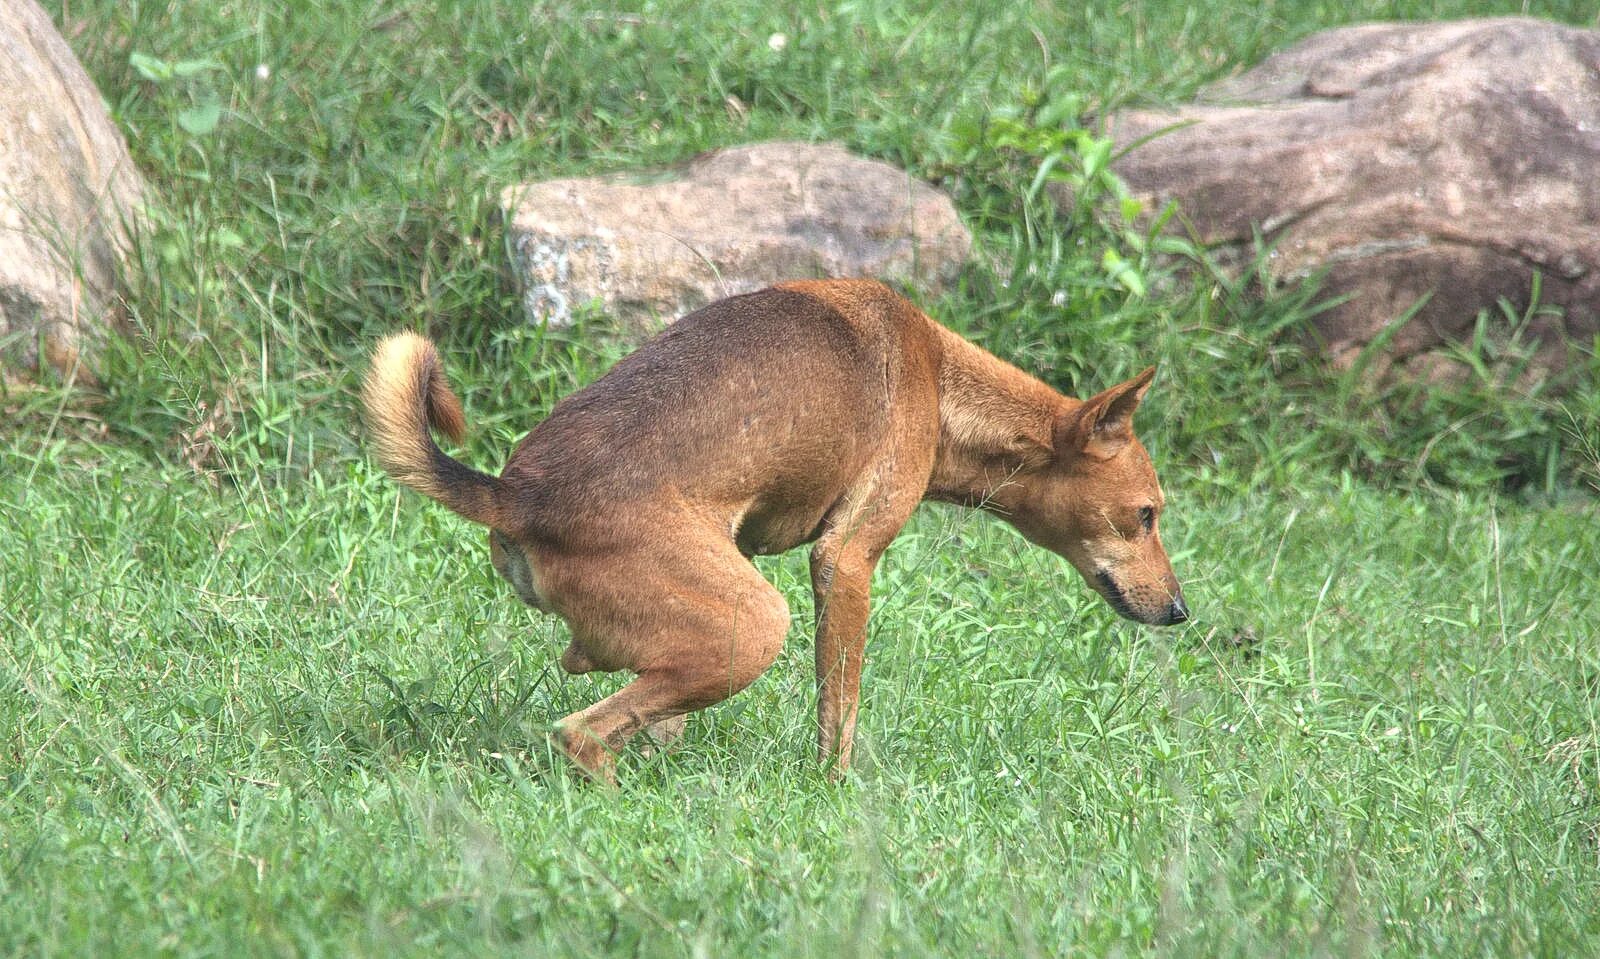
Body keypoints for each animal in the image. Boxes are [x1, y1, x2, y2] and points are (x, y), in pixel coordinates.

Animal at [366, 275, 1190, 781]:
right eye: (1145, 514)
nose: (1181, 611)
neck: (940, 373)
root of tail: (515, 495)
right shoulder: (845, 559)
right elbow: (839, 711)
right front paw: (833, 791)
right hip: (759, 625)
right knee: (580, 732)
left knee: (607, 685)